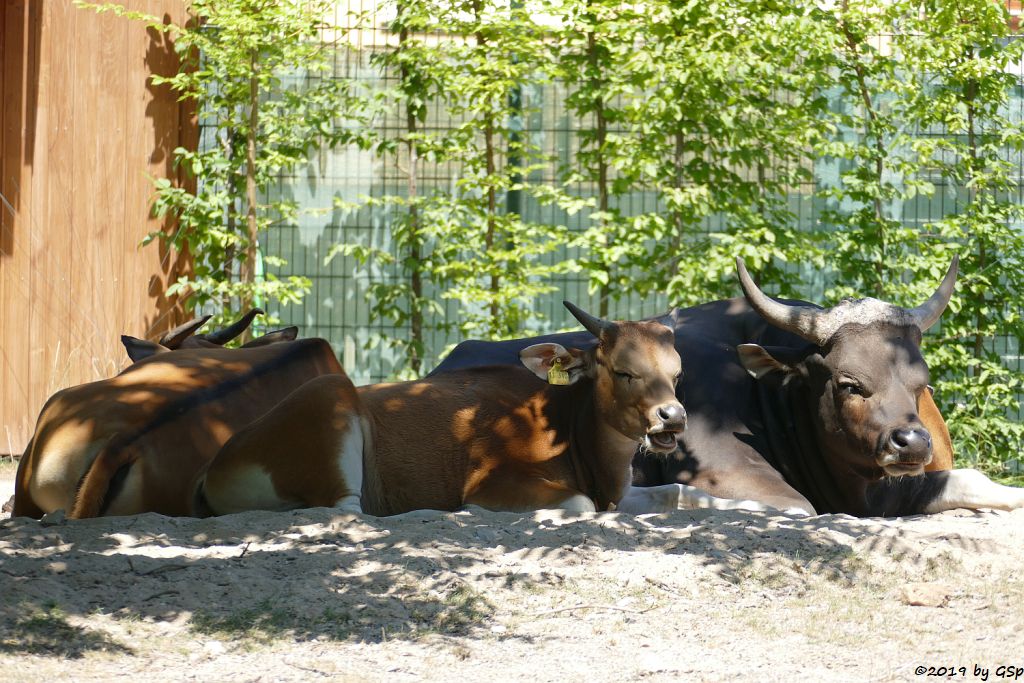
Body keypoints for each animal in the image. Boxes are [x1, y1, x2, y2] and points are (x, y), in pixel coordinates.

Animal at [197, 301, 696, 516]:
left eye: (676, 374)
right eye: (622, 370)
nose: (672, 418)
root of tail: (215, 466)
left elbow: (681, 492)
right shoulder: (491, 484)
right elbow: (581, 503)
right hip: (331, 394)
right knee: (344, 510)